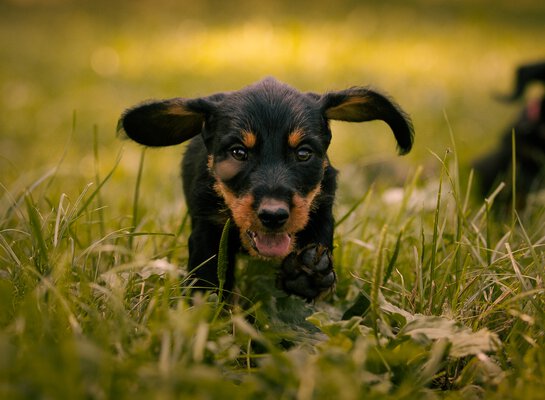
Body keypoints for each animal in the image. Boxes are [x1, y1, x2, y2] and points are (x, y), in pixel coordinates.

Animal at [118, 77, 412, 300]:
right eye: (238, 152)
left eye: (303, 153)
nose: (273, 215)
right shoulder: (207, 229)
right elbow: (209, 279)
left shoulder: (321, 211)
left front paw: (308, 273)